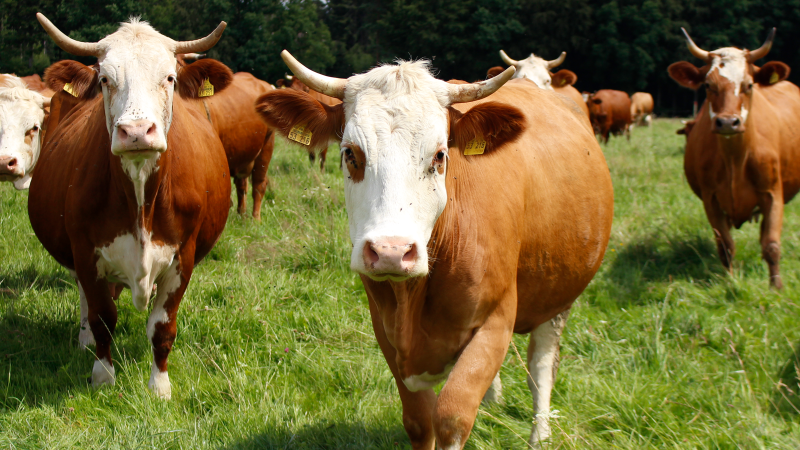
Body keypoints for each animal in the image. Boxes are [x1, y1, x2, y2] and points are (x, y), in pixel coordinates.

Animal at [29, 13, 233, 398]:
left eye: (169, 78)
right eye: (105, 79)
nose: (137, 131)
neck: (139, 199)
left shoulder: (182, 257)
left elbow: (162, 326)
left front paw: (160, 386)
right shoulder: (85, 252)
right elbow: (102, 317)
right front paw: (102, 377)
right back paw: (83, 339)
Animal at [256, 51, 614, 449]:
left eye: (440, 155)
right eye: (350, 154)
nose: (391, 251)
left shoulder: (497, 318)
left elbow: (452, 415)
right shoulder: (385, 327)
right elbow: (419, 420)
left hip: (560, 291)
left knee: (542, 363)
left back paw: (540, 431)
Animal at [667, 27, 799, 289]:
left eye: (748, 85)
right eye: (708, 85)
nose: (728, 122)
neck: (735, 160)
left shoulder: (773, 194)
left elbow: (771, 245)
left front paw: (776, 287)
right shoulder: (711, 200)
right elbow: (726, 246)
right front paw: (729, 281)